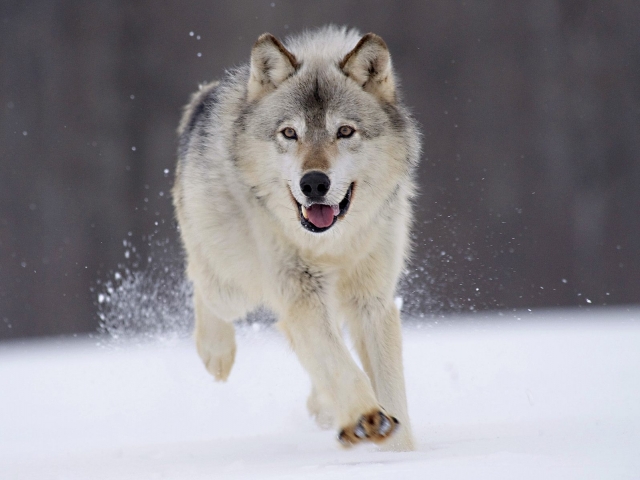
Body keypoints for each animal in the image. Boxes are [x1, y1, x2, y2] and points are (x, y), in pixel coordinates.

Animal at [171, 26, 420, 450]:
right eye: (289, 133)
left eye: (345, 131)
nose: (314, 183)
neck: (332, 245)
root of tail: (204, 97)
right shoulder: (301, 292)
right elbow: (340, 364)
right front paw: (365, 417)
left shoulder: (372, 301)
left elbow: (389, 388)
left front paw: (400, 449)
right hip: (233, 285)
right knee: (202, 284)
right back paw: (216, 353)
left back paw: (324, 408)